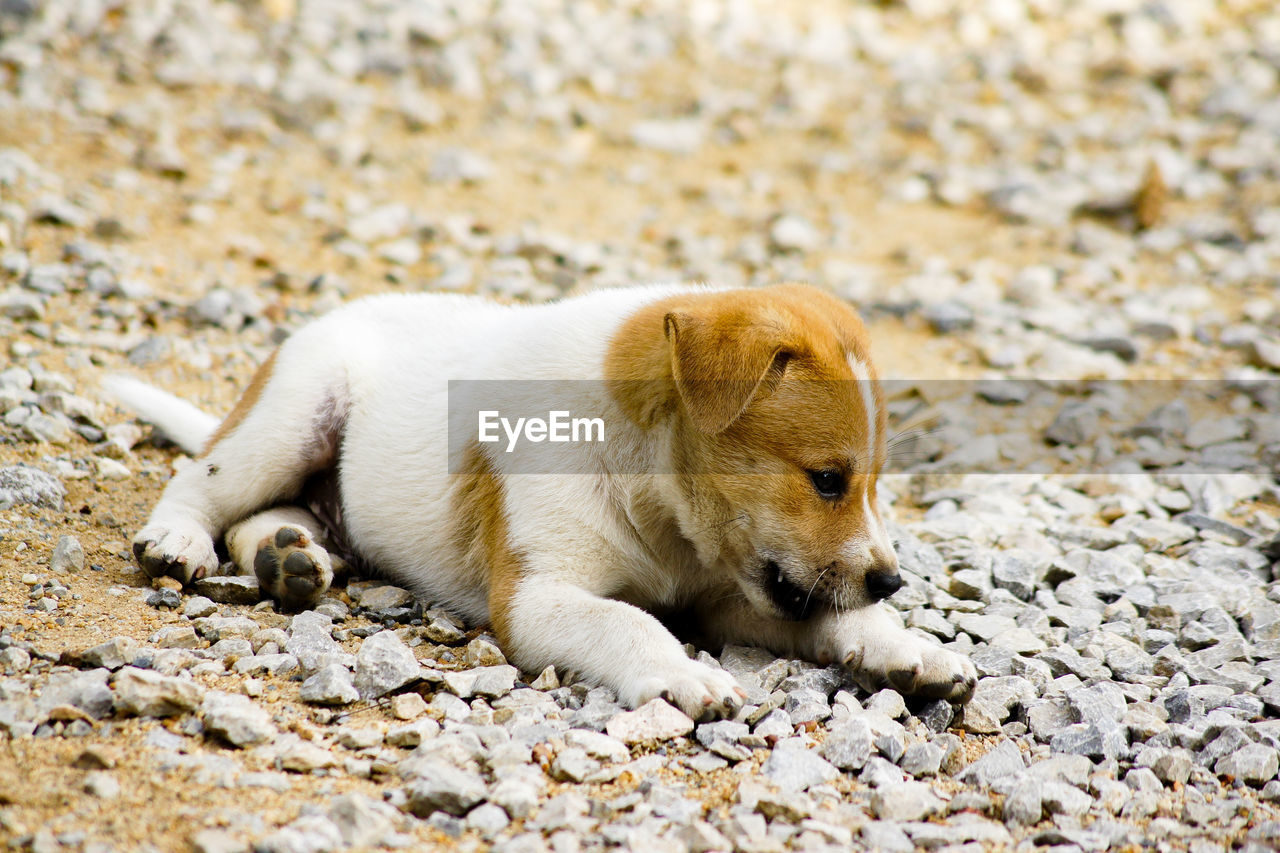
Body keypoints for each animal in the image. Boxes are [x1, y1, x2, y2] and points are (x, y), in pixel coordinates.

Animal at [110, 281, 977, 712]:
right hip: (294, 415)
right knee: (204, 479)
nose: (891, 578)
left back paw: (289, 559)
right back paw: (179, 542)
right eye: (826, 478)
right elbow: (626, 620)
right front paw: (684, 676)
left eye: (872, 481)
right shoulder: (538, 594)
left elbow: (831, 616)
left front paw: (905, 645)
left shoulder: (730, 595)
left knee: (277, 513)